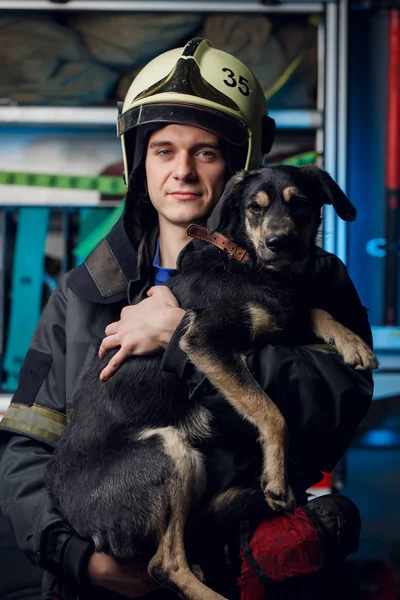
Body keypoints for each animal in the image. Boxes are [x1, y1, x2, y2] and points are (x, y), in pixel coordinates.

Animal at [47, 165, 378, 600]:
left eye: (301, 204)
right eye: (255, 208)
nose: (278, 243)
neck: (248, 260)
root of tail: (72, 515)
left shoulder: (280, 312)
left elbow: (314, 308)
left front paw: (353, 341)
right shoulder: (203, 340)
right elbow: (272, 412)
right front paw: (277, 479)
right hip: (167, 450)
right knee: (164, 564)